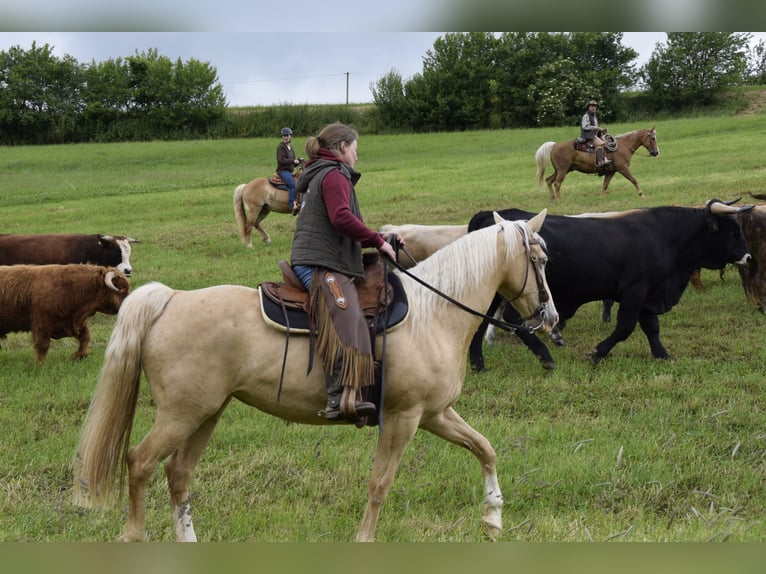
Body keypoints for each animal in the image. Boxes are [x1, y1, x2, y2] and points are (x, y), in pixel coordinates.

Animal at [72, 211, 559, 542]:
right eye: (539, 259)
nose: (549, 317)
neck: (433, 312)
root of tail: (171, 299)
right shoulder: (402, 418)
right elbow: (380, 483)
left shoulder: (434, 413)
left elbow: (485, 448)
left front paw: (493, 516)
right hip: (180, 414)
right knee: (140, 463)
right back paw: (134, 537)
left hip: (205, 412)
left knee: (178, 473)